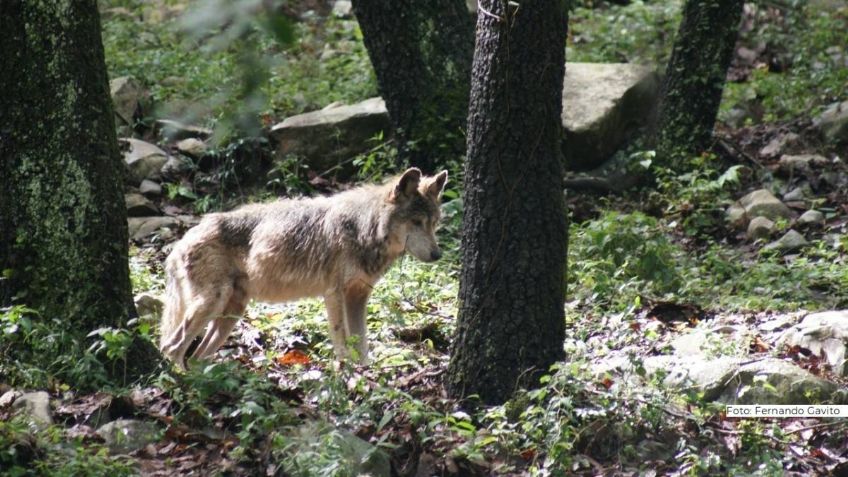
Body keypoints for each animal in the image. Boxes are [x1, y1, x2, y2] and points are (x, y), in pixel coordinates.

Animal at [161, 168, 450, 368]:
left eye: (434, 222)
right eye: (416, 222)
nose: (438, 255)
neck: (364, 227)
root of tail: (181, 241)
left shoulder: (358, 296)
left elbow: (362, 345)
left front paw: (365, 375)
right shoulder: (335, 295)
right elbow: (343, 343)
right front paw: (348, 375)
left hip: (231, 314)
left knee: (196, 356)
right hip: (212, 304)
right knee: (171, 347)